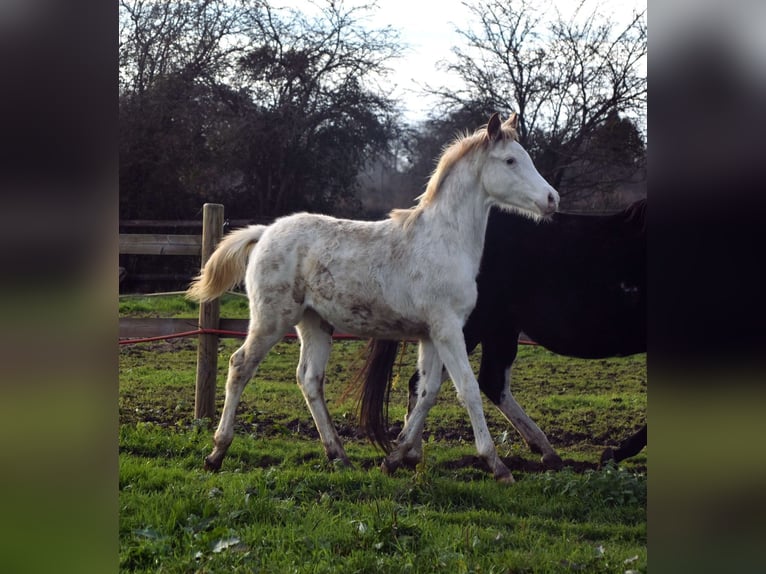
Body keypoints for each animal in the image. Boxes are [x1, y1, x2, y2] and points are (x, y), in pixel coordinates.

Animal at [360, 198, 648, 468]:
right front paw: (615, 453)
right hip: (468, 328)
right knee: (431, 383)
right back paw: (411, 452)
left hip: (499, 328)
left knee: (490, 382)